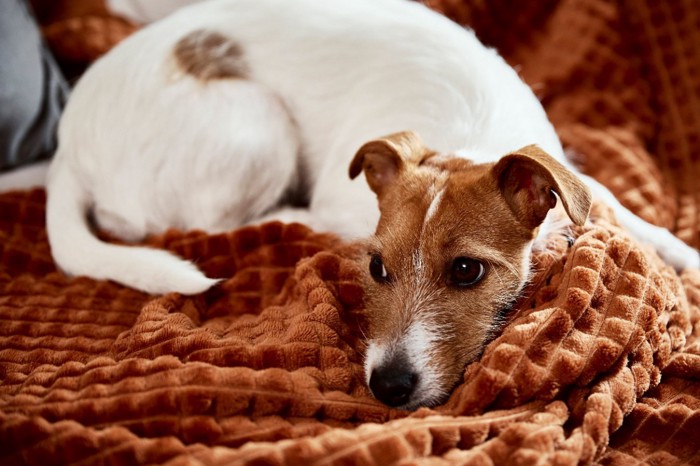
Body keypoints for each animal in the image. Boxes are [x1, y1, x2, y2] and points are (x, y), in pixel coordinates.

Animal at [46, 0, 696, 410]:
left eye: (467, 271)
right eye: (375, 268)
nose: (388, 387)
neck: (465, 140)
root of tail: (65, 151)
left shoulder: (573, 181)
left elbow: (621, 211)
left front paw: (684, 255)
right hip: (258, 127)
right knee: (210, 220)